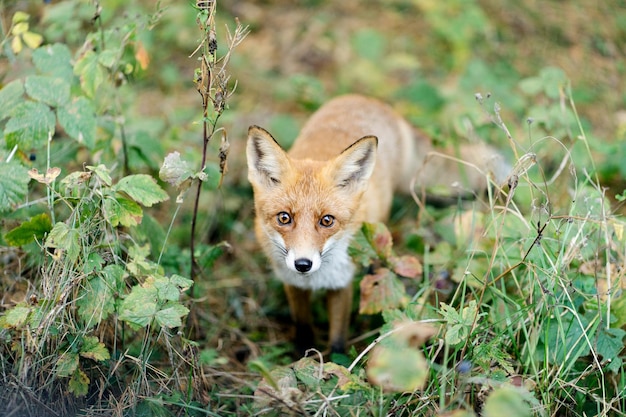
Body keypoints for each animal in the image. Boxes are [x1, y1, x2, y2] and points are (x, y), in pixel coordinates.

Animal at [244, 94, 508, 354]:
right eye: (284, 218)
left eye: (327, 220)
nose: (302, 264)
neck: (314, 279)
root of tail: (372, 100)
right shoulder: (293, 284)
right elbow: (303, 329)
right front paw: (302, 357)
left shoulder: (342, 283)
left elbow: (337, 342)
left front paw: (334, 363)